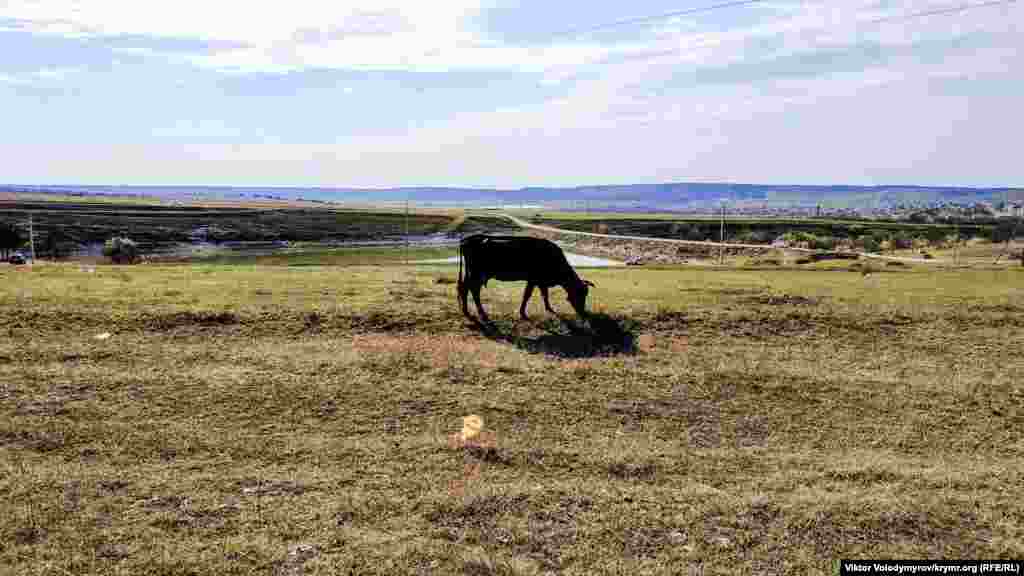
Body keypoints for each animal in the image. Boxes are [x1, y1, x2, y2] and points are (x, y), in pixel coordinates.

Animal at [460, 233, 598, 323]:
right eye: (580, 294)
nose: (584, 313)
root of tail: (468, 239)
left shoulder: (541, 281)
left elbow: (544, 295)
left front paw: (549, 309)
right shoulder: (533, 280)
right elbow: (527, 295)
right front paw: (523, 314)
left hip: (471, 274)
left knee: (465, 289)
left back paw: (467, 311)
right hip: (476, 274)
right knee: (472, 290)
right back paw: (481, 314)